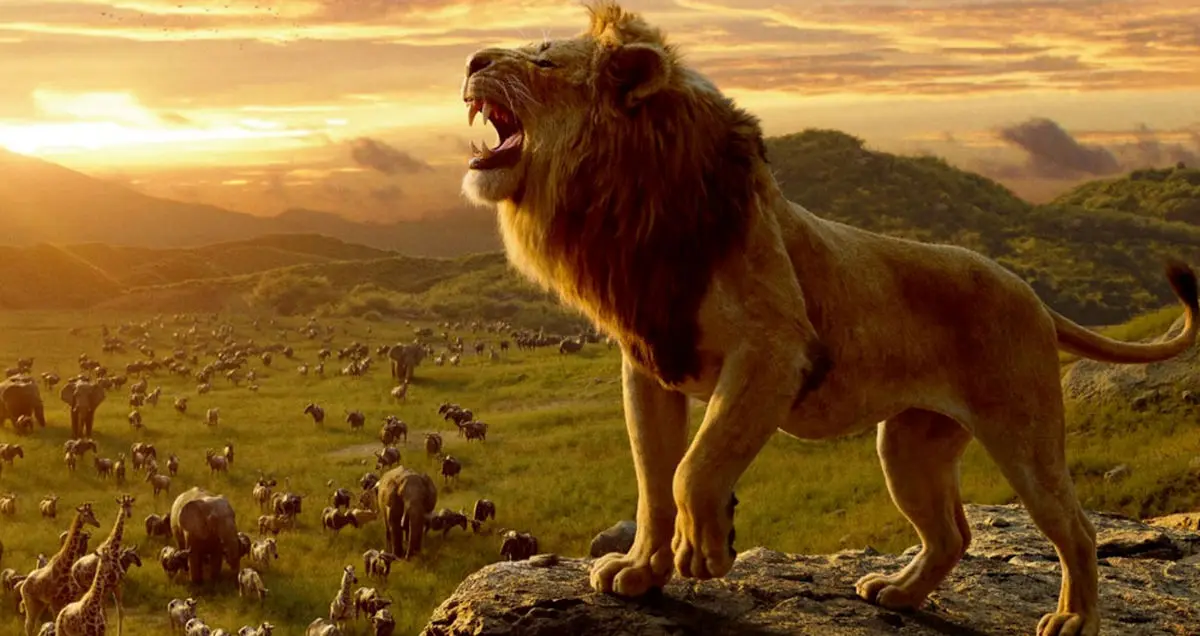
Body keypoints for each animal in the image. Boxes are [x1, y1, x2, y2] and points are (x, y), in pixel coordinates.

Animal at [457, 3, 1199, 635]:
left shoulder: (775, 349)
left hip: (1024, 434)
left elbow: (695, 465)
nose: (470, 59)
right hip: (909, 445)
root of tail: (1033, 295)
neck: (626, 206)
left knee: (1075, 527)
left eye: (544, 60)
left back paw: (1073, 618)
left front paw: (706, 551)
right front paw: (641, 572)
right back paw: (898, 593)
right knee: (952, 533)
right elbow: (652, 480)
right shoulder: (649, 364)